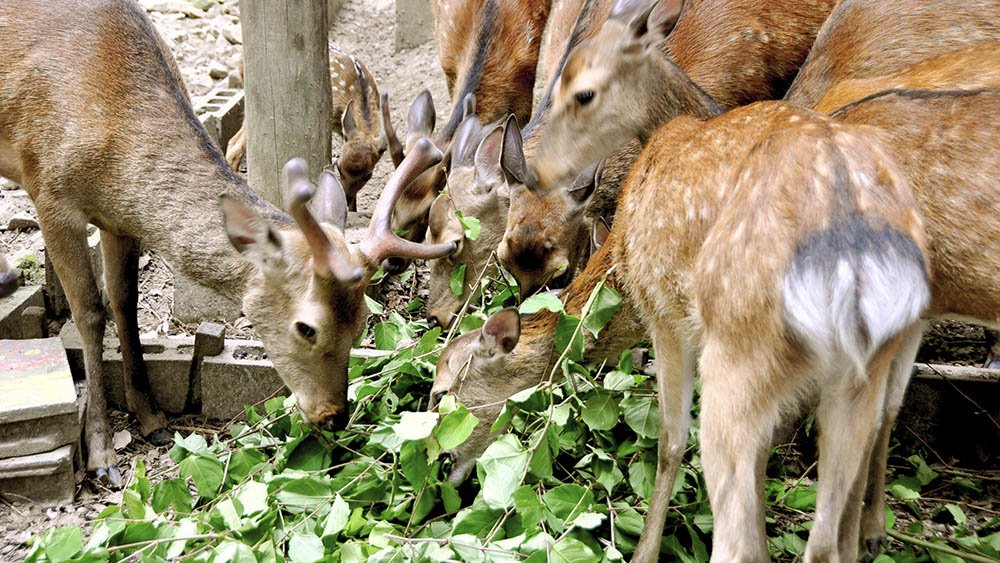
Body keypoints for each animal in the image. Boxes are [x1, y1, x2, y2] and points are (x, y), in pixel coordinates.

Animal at [224, 47, 402, 212]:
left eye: (368, 175)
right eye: (338, 167)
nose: (345, 197)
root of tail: (240, 65)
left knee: (233, 140)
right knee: (235, 145)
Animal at [430, 87, 1000, 560]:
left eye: (441, 394)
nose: (440, 472)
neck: (623, 261)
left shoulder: (667, 318)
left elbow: (668, 444)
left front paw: (644, 552)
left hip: (738, 354)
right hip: (859, 369)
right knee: (829, 528)